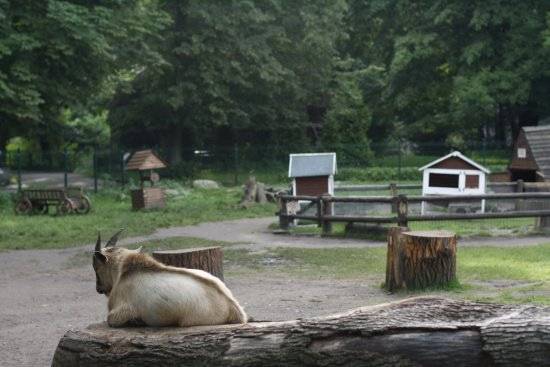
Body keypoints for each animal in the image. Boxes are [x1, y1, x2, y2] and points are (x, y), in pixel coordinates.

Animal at [92, 231, 248, 330]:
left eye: (96, 267)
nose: (99, 289)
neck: (125, 271)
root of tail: (234, 308)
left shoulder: (118, 313)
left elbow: (111, 320)